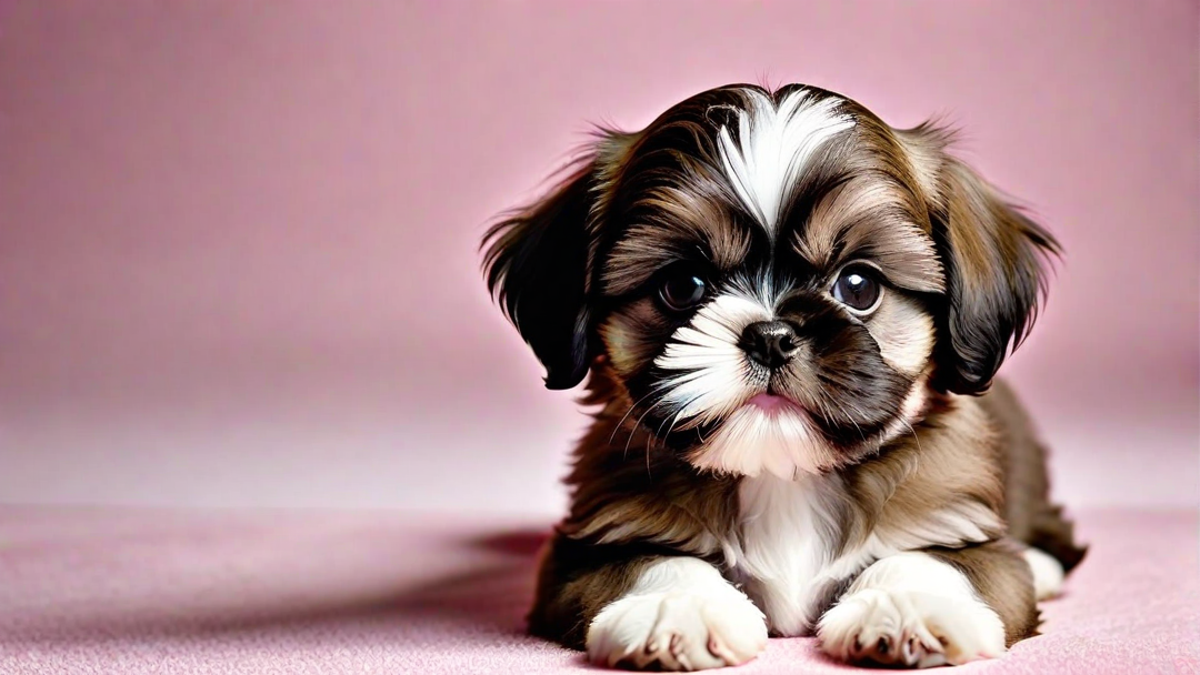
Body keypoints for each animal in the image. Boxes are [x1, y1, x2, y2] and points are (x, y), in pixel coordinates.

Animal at [480, 84, 1089, 667]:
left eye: (859, 286)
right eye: (683, 285)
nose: (770, 336)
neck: (783, 475)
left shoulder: (960, 524)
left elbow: (938, 562)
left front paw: (906, 605)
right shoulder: (589, 543)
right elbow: (648, 561)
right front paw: (675, 607)